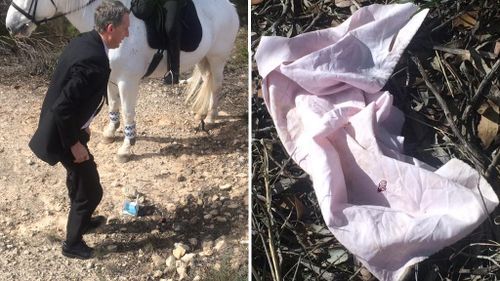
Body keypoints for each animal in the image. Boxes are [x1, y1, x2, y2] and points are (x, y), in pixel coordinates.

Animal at [5, 0, 240, 161]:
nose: (10, 26)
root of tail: (231, 7)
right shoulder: (111, 78)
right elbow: (114, 105)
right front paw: (111, 131)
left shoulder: (128, 81)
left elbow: (127, 111)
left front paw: (126, 147)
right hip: (204, 57)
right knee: (208, 81)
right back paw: (202, 114)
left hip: (218, 57)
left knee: (217, 85)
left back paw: (211, 117)